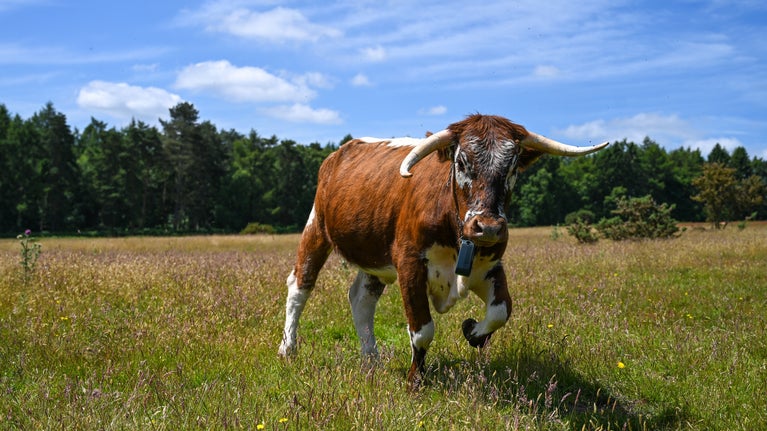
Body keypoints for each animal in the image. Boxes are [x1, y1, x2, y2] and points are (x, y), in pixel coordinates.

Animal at [278, 114, 608, 388]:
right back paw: (287, 348)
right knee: (300, 287)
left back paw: (371, 359)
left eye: (512, 167)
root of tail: (341, 151)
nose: (488, 227)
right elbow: (422, 329)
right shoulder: (409, 264)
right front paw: (415, 380)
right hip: (316, 228)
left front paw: (473, 332)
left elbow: (501, 311)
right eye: (461, 163)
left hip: (375, 255)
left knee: (361, 299)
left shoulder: (490, 267)